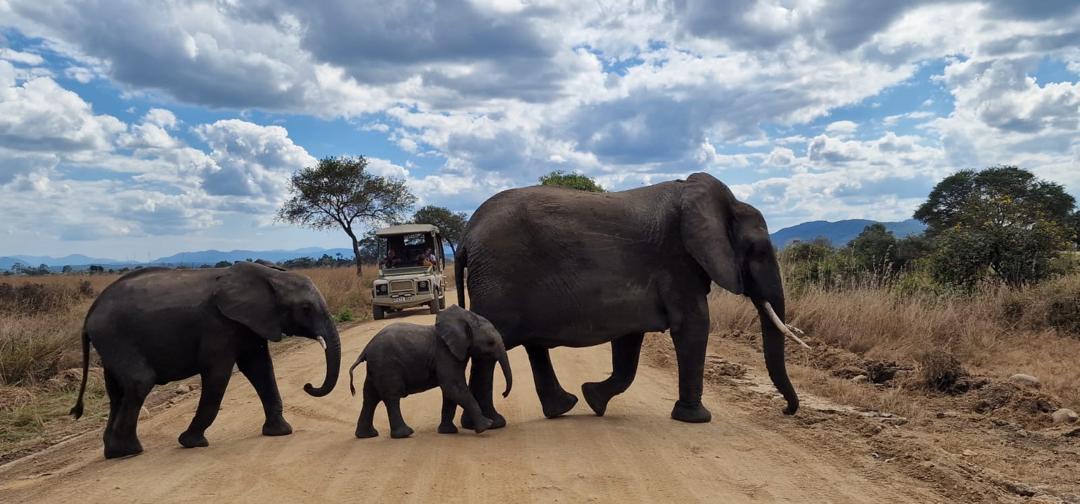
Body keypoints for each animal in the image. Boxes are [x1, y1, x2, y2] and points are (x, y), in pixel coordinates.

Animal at [69, 262, 341, 459]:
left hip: (110, 343)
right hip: (115, 336)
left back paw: (113, 451)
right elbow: (219, 373)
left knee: (116, 390)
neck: (269, 275)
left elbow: (260, 368)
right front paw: (191, 442)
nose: (308, 385)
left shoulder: (248, 323)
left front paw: (279, 432)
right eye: (306, 308)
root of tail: (90, 313)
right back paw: (128, 451)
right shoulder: (217, 325)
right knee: (139, 382)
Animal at [347, 305, 512, 439]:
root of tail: (366, 349)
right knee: (391, 397)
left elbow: (450, 392)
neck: (465, 321)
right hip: (386, 365)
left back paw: (367, 435)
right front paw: (486, 426)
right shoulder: (445, 353)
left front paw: (448, 432)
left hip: (376, 367)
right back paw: (405, 434)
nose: (503, 394)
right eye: (490, 343)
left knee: (370, 398)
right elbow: (453, 387)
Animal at [454, 172, 808, 429]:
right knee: (493, 347)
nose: (787, 412)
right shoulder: (678, 263)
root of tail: (467, 234)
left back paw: (556, 409)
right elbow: (694, 326)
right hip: (500, 278)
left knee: (532, 344)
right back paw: (491, 423)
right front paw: (696, 419)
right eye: (758, 252)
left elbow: (629, 344)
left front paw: (594, 399)